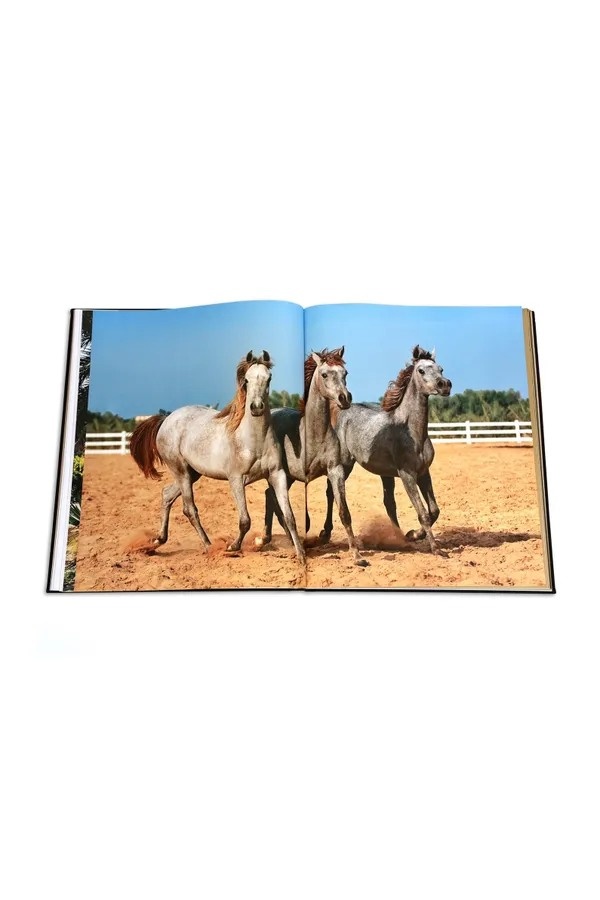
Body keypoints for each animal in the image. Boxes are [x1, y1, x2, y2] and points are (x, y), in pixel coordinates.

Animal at [129, 351, 305, 563]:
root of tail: (167, 419)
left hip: (192, 474)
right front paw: (232, 547)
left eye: (268, 378)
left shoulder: (277, 475)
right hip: (181, 472)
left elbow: (289, 517)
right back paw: (209, 546)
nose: (256, 407)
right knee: (189, 510)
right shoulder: (236, 479)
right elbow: (245, 520)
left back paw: (158, 540)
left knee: (167, 495)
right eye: (246, 380)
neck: (253, 440)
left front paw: (301, 555)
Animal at [262, 347, 367, 566]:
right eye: (325, 374)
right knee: (274, 501)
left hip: (288, 478)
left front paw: (357, 556)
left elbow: (344, 512)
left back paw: (268, 538)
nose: (345, 398)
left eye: (345, 373)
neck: (312, 435)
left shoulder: (335, 471)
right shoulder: (303, 477)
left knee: (269, 497)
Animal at [320, 346, 452, 555]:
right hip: (345, 464)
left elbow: (434, 510)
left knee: (389, 503)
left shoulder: (424, 473)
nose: (445, 385)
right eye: (421, 370)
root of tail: (341, 408)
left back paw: (397, 537)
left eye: (441, 369)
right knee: (331, 492)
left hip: (385, 474)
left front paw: (413, 534)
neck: (412, 432)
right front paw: (436, 549)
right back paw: (325, 533)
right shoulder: (408, 475)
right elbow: (423, 513)